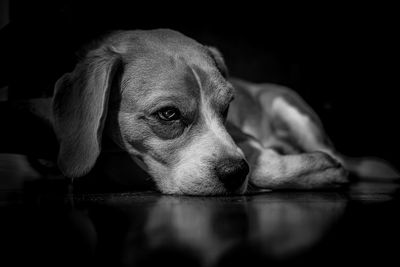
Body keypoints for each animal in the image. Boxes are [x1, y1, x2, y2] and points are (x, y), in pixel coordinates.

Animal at [3, 29, 400, 196]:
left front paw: (317, 170)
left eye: (227, 107)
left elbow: (261, 163)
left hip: (290, 108)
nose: (234, 173)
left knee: (337, 153)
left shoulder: (244, 139)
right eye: (168, 115)